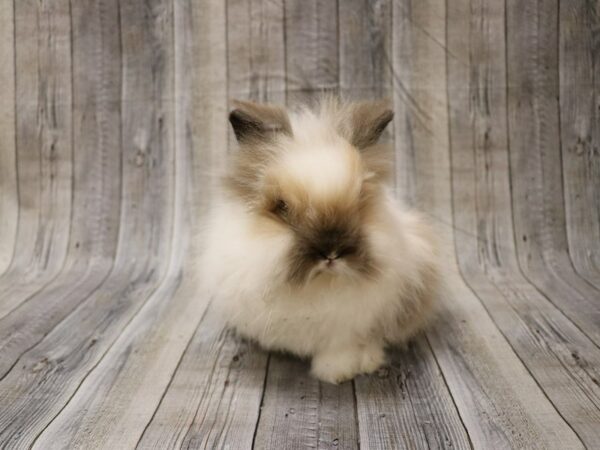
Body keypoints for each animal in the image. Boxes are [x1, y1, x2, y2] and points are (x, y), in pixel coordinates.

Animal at [202, 97, 440, 384]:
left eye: (360, 200)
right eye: (282, 206)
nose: (331, 251)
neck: (319, 285)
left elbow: (341, 349)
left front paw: (338, 372)